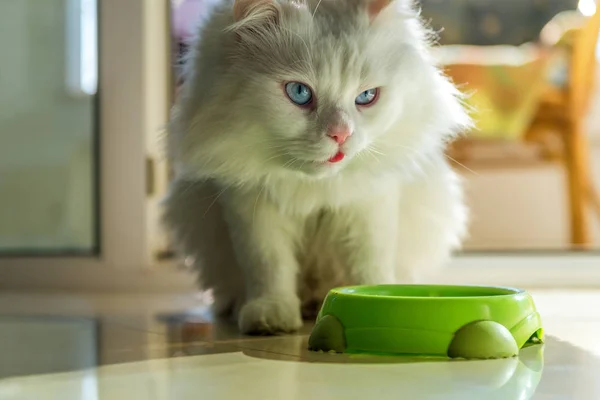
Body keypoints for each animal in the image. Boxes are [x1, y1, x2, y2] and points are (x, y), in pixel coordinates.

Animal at [162, 0, 472, 334]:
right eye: (299, 93)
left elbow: (370, 261)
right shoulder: (251, 206)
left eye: (367, 96)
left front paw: (377, 296)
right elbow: (268, 266)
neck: (311, 185)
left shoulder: (368, 205)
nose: (341, 135)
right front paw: (271, 316)